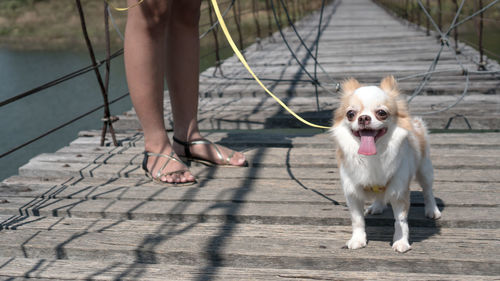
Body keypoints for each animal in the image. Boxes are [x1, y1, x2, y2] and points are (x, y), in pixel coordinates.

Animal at [332, 75, 442, 252]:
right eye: (351, 114)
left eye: (381, 113)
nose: (363, 118)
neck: (373, 156)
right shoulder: (352, 192)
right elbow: (357, 220)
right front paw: (357, 239)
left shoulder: (399, 190)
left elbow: (401, 221)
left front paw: (401, 241)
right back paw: (377, 206)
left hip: (424, 169)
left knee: (428, 191)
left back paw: (432, 210)